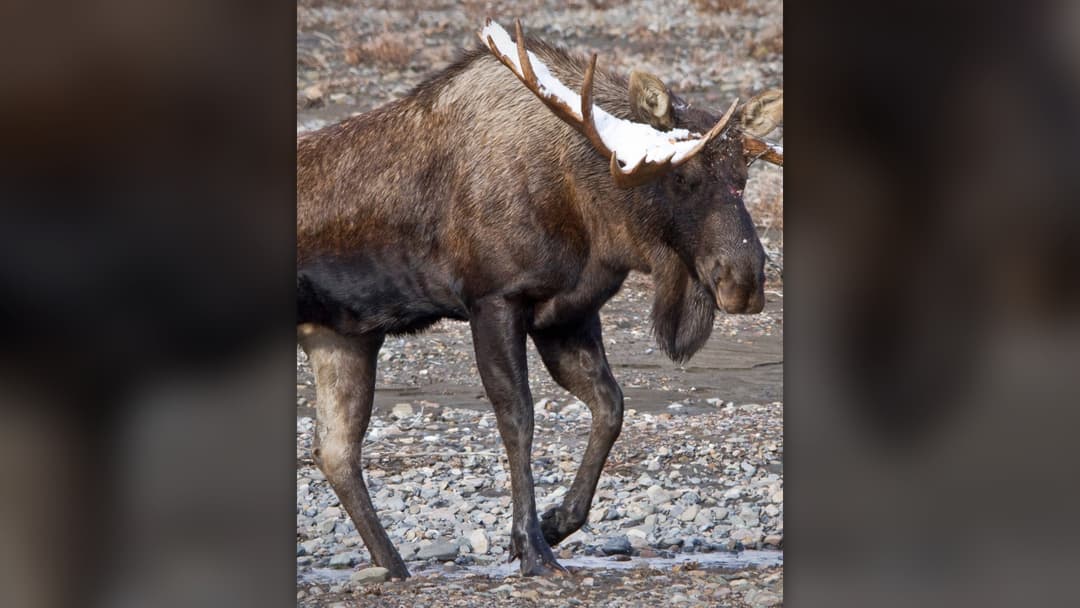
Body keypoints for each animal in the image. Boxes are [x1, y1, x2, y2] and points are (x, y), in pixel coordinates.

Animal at [296, 19, 783, 578]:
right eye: (683, 175)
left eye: (743, 176)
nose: (746, 280)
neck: (590, 212)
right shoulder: (494, 300)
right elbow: (519, 419)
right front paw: (531, 548)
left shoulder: (568, 314)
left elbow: (611, 407)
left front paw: (556, 523)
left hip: (342, 337)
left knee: (335, 451)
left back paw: (393, 565)